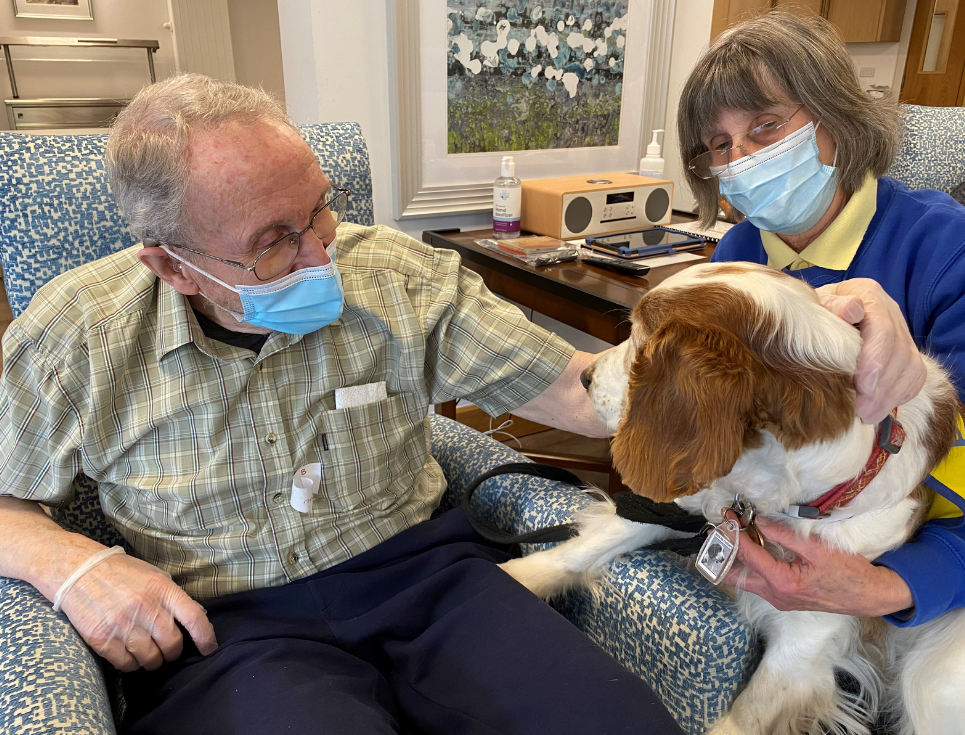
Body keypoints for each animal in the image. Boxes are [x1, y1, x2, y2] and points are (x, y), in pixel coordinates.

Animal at [500, 264, 960, 735]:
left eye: (642, 340)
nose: (584, 378)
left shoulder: (813, 625)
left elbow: (747, 715)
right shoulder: (694, 493)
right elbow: (579, 551)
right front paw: (507, 578)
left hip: (931, 679)